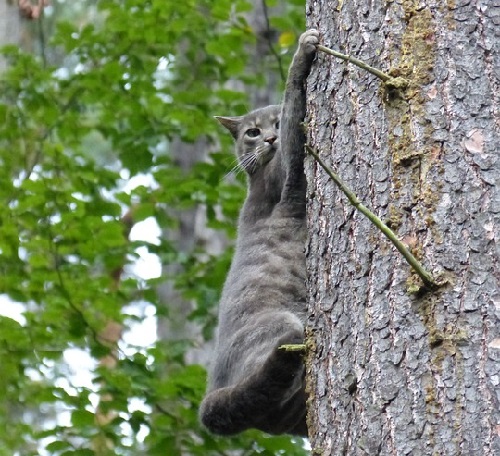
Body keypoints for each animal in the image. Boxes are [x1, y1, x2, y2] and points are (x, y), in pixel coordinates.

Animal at [200, 29, 320, 438]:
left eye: (271, 126)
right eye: (253, 132)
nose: (269, 139)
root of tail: (212, 399)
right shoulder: (288, 170)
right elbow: (292, 96)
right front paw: (303, 48)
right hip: (282, 326)